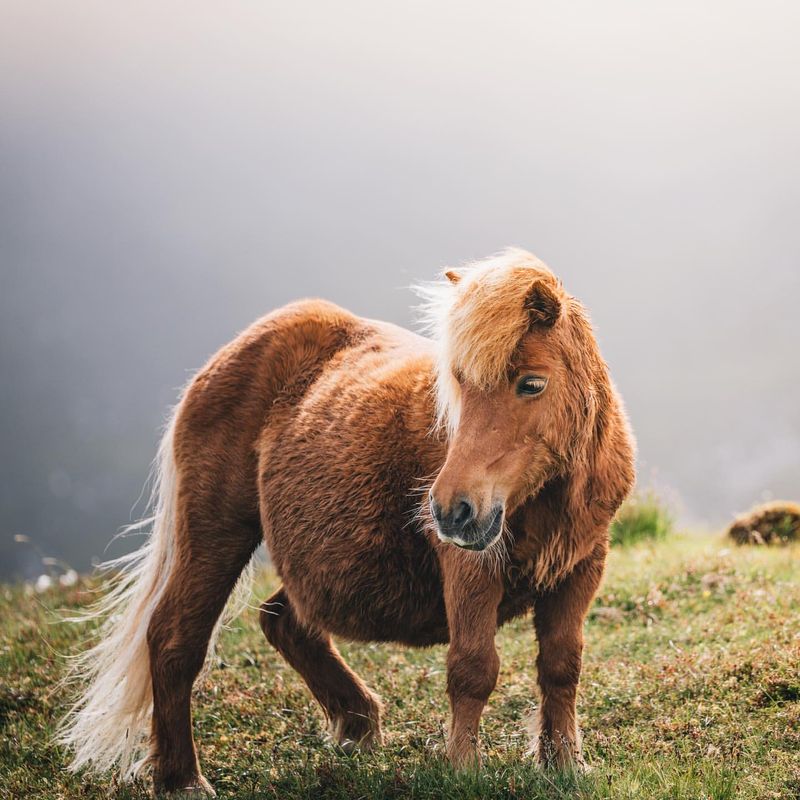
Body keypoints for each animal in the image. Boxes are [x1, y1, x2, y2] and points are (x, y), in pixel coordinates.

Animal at [57, 248, 636, 792]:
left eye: (532, 384)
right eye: (458, 383)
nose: (452, 510)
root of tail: (236, 351)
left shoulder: (582, 566)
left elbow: (562, 665)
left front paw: (566, 763)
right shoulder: (470, 570)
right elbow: (473, 668)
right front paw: (464, 771)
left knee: (283, 620)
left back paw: (357, 724)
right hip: (216, 532)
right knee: (175, 637)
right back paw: (182, 779)